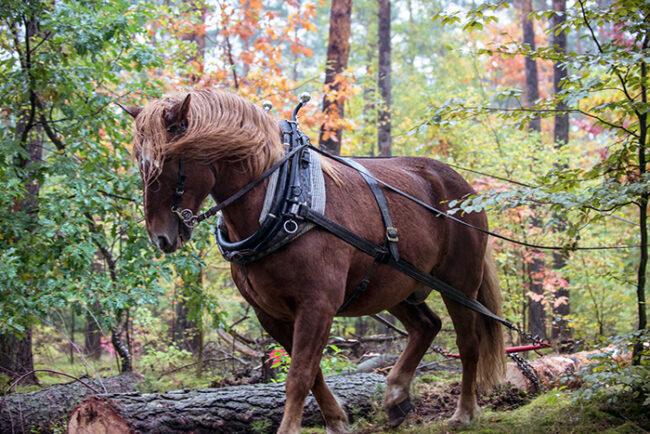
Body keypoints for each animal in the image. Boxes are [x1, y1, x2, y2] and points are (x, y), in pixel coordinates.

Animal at [125, 88, 502, 434]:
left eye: (168, 160)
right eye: (140, 162)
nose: (160, 236)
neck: (284, 200)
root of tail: (463, 186)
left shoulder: (318, 304)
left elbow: (300, 375)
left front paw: (292, 428)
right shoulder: (270, 313)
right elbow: (312, 371)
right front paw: (336, 421)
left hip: (458, 282)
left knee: (468, 343)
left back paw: (464, 412)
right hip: (395, 284)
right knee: (426, 326)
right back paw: (396, 397)